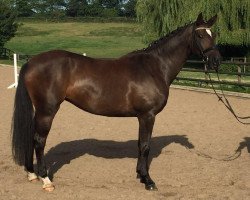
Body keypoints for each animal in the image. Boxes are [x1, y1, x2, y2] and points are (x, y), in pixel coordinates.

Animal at [11, 12, 221, 192]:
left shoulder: (142, 117)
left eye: (214, 34)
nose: (216, 61)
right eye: (200, 34)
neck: (154, 67)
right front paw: (148, 181)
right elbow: (145, 146)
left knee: (32, 137)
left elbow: (140, 144)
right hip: (47, 111)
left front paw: (140, 175)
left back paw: (32, 173)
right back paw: (46, 180)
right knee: (39, 141)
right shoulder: (148, 115)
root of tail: (31, 62)